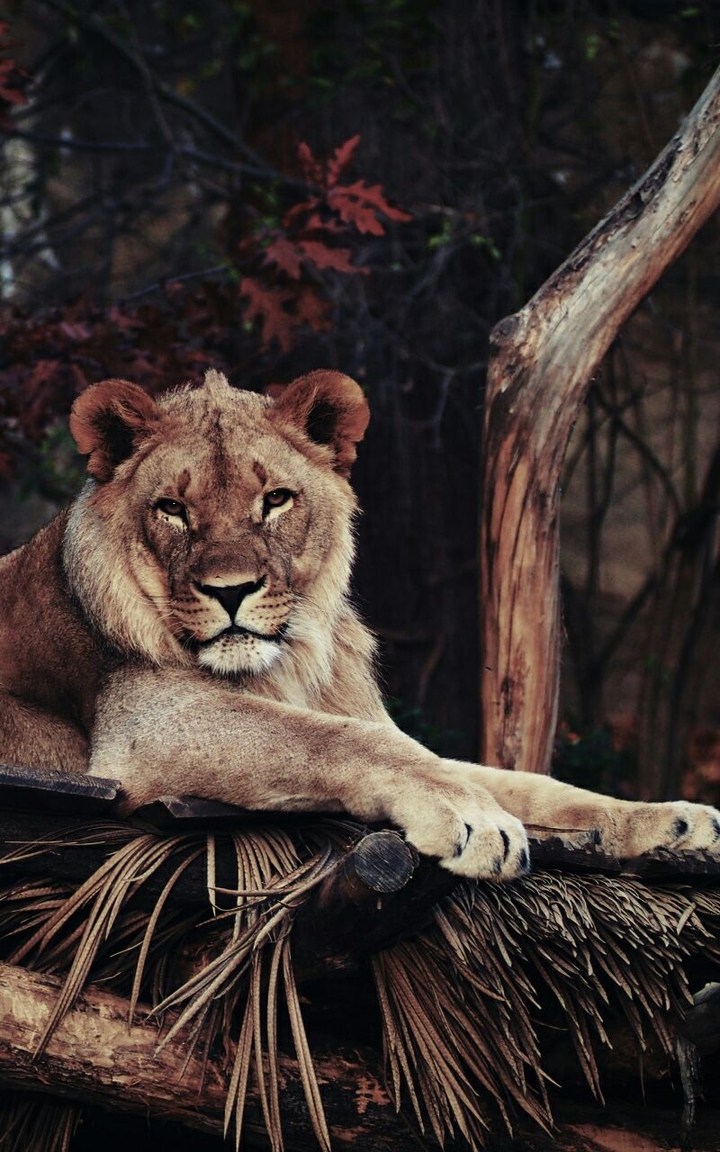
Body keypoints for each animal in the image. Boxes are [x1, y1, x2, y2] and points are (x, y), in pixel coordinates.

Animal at [0, 367, 718, 879]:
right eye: (172, 509)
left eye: (276, 500)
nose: (232, 592)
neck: (289, 663)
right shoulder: (144, 729)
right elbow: (339, 741)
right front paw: (470, 817)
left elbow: (523, 782)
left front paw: (672, 821)